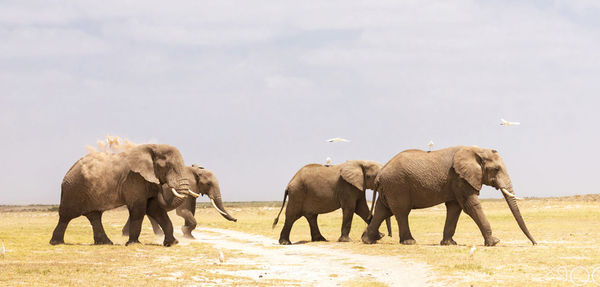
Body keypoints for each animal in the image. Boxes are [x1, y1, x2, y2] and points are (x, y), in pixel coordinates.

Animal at [51, 145, 197, 246]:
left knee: (95, 216)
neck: (153, 147)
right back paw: (56, 243)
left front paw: (172, 243)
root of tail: (68, 172)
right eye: (168, 166)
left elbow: (156, 210)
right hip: (74, 190)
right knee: (66, 216)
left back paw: (105, 243)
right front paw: (133, 244)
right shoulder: (133, 179)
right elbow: (138, 209)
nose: (160, 185)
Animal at [358, 146, 536, 248]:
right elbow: (470, 206)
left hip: (390, 188)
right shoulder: (460, 178)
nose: (535, 243)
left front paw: (449, 244)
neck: (476, 150)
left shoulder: (456, 181)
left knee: (383, 210)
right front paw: (495, 242)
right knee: (401, 212)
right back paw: (409, 242)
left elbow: (454, 208)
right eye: (497, 169)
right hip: (397, 185)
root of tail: (380, 173)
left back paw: (368, 240)